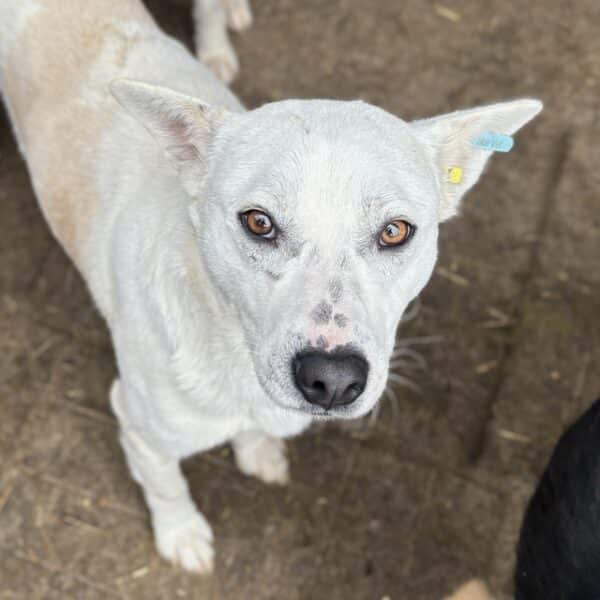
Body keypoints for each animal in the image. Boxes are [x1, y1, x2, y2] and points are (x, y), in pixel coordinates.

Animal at [0, 0, 544, 576]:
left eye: (395, 232)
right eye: (258, 223)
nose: (333, 380)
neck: (233, 353)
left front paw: (256, 450)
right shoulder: (139, 428)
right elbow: (166, 485)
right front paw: (181, 534)